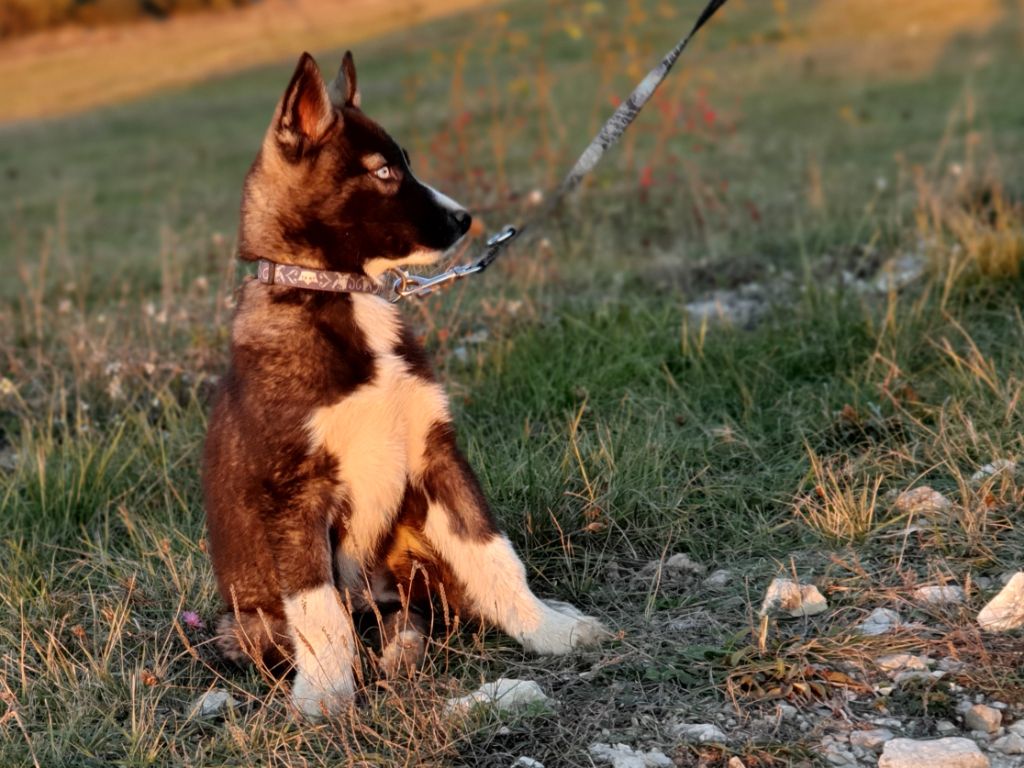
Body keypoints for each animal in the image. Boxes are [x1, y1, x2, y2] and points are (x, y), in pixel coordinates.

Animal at [204, 51, 606, 720]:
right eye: (384, 171)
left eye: (406, 161)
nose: (465, 219)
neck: (345, 295)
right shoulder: (292, 495)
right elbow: (321, 613)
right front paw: (325, 696)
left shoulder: (434, 452)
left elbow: (495, 555)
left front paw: (547, 629)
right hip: (246, 623)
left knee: (422, 609)